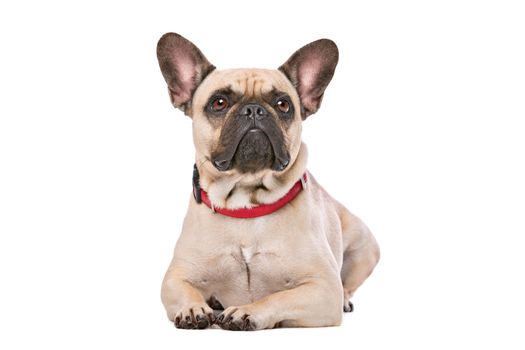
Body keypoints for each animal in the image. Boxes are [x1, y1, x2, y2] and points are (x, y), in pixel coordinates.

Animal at [158, 32, 378, 330]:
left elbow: (280, 297)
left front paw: (246, 311)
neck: (246, 202)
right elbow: (184, 289)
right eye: (219, 103)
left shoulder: (323, 288)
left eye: (283, 105)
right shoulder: (176, 276)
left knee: (348, 285)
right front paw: (193, 308)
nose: (253, 110)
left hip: (365, 246)